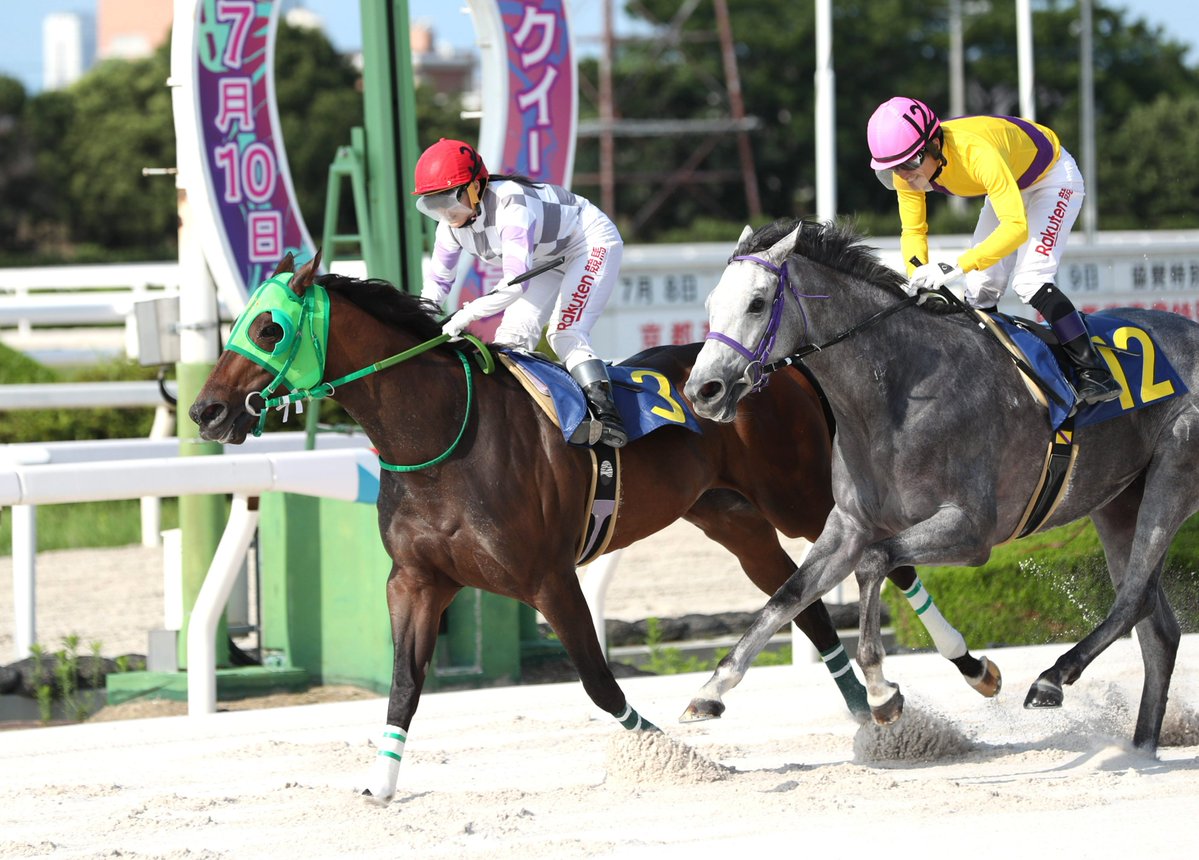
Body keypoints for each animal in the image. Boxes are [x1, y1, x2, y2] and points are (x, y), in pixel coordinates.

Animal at [188, 251, 995, 802]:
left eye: (269, 327)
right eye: (239, 322)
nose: (205, 410)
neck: (442, 434)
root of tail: (781, 364)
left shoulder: (546, 578)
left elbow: (601, 686)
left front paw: (679, 760)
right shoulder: (416, 580)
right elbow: (405, 684)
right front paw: (380, 785)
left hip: (799, 496)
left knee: (887, 558)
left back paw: (967, 671)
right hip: (732, 520)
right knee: (803, 604)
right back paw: (868, 721)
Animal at [680, 217, 1199, 753]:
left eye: (757, 302)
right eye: (711, 304)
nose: (702, 390)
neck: (896, 392)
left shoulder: (971, 530)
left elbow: (875, 561)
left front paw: (882, 691)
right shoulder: (848, 524)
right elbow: (788, 595)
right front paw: (711, 689)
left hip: (1174, 469)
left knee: (1134, 597)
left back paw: (1051, 679)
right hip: (1117, 502)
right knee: (1158, 630)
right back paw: (1142, 747)